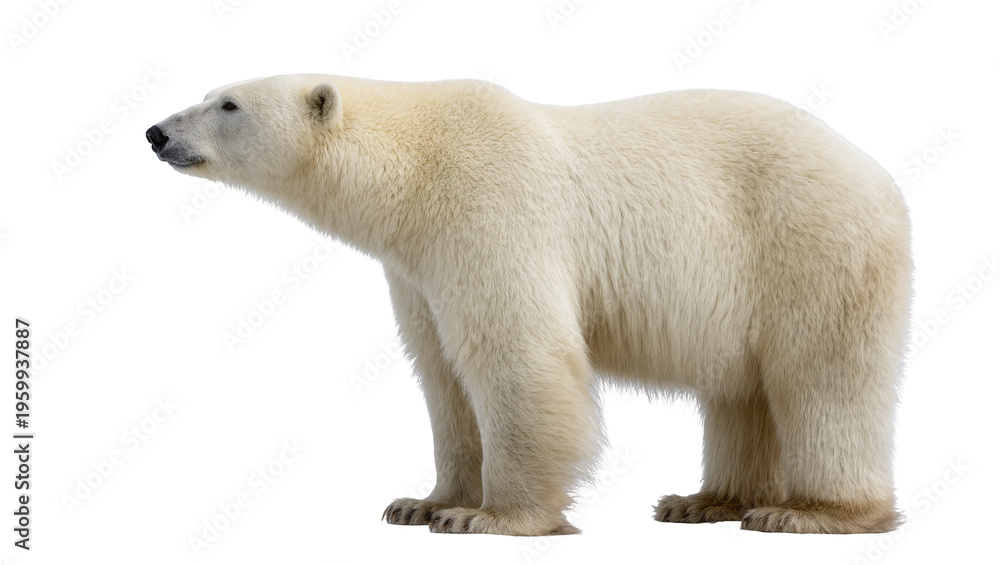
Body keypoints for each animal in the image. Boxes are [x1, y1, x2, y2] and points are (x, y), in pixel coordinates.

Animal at [147, 74, 911, 536]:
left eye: (229, 104)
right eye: (211, 93)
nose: (157, 132)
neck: (416, 168)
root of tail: (880, 174)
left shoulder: (490, 208)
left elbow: (514, 354)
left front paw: (491, 518)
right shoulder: (416, 267)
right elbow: (441, 373)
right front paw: (424, 502)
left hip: (806, 245)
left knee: (823, 378)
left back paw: (808, 512)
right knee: (741, 391)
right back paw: (703, 501)